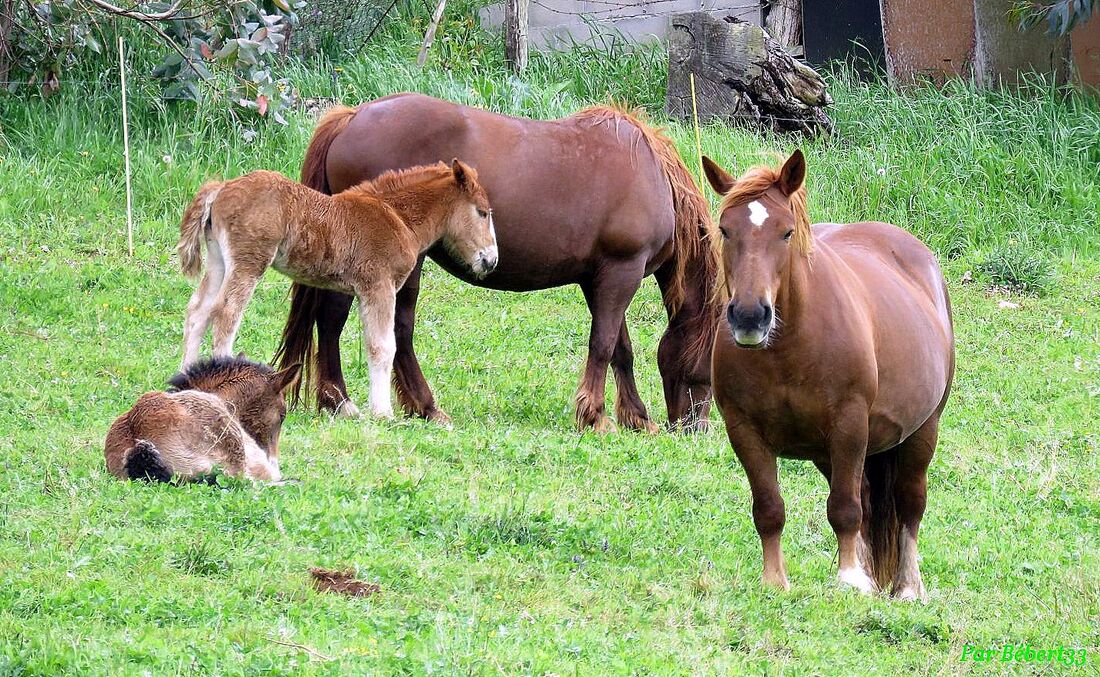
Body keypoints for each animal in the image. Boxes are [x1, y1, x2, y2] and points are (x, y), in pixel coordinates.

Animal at [178, 161, 497, 420]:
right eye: (482, 212)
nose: (491, 260)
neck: (397, 217)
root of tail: (221, 188)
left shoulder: (361, 290)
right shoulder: (379, 286)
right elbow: (382, 346)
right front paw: (382, 413)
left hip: (219, 260)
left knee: (198, 311)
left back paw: (189, 379)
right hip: (249, 260)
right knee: (226, 313)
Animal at [275, 94, 721, 431]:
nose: (694, 427)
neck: (652, 177)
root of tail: (351, 118)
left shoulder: (599, 280)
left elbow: (619, 349)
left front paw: (635, 417)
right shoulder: (621, 273)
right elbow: (604, 344)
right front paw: (595, 417)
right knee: (361, 324)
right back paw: (364, 402)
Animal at [704, 150, 954, 603]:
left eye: (786, 233)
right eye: (725, 230)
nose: (749, 316)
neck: (788, 350)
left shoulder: (849, 425)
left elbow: (844, 508)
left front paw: (849, 579)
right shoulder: (743, 430)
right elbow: (769, 509)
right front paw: (775, 580)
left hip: (922, 430)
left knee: (909, 504)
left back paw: (908, 586)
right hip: (829, 452)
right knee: (870, 501)